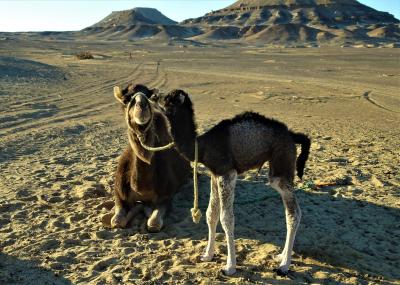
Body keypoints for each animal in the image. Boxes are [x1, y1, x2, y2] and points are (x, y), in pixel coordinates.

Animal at [109, 82, 191, 231]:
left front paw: (145, 209)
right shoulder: (119, 193)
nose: (142, 106)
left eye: (149, 96)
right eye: (126, 100)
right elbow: (117, 221)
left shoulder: (166, 197)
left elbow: (154, 223)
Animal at [158, 89, 310, 276]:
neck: (202, 145)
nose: (153, 96)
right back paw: (281, 256)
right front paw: (207, 255)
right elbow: (211, 214)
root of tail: (292, 135)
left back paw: (284, 266)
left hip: (281, 166)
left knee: (293, 213)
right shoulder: (215, 174)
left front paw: (230, 267)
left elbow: (226, 219)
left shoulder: (227, 173)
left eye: (167, 99)